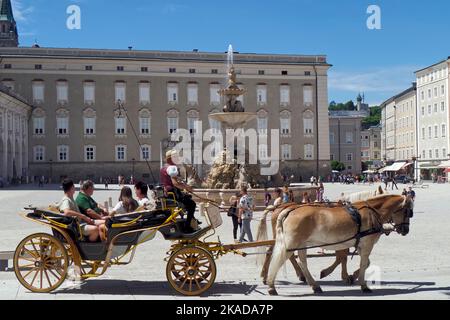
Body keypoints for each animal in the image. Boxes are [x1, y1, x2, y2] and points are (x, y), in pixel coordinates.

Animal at [266, 192, 414, 296]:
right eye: (408, 211)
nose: (406, 230)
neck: (371, 212)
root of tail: (289, 210)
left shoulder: (360, 244)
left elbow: (365, 263)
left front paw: (352, 276)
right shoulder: (367, 244)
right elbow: (363, 263)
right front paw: (363, 284)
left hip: (303, 244)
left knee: (302, 262)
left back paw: (315, 285)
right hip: (291, 244)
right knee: (279, 260)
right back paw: (271, 286)